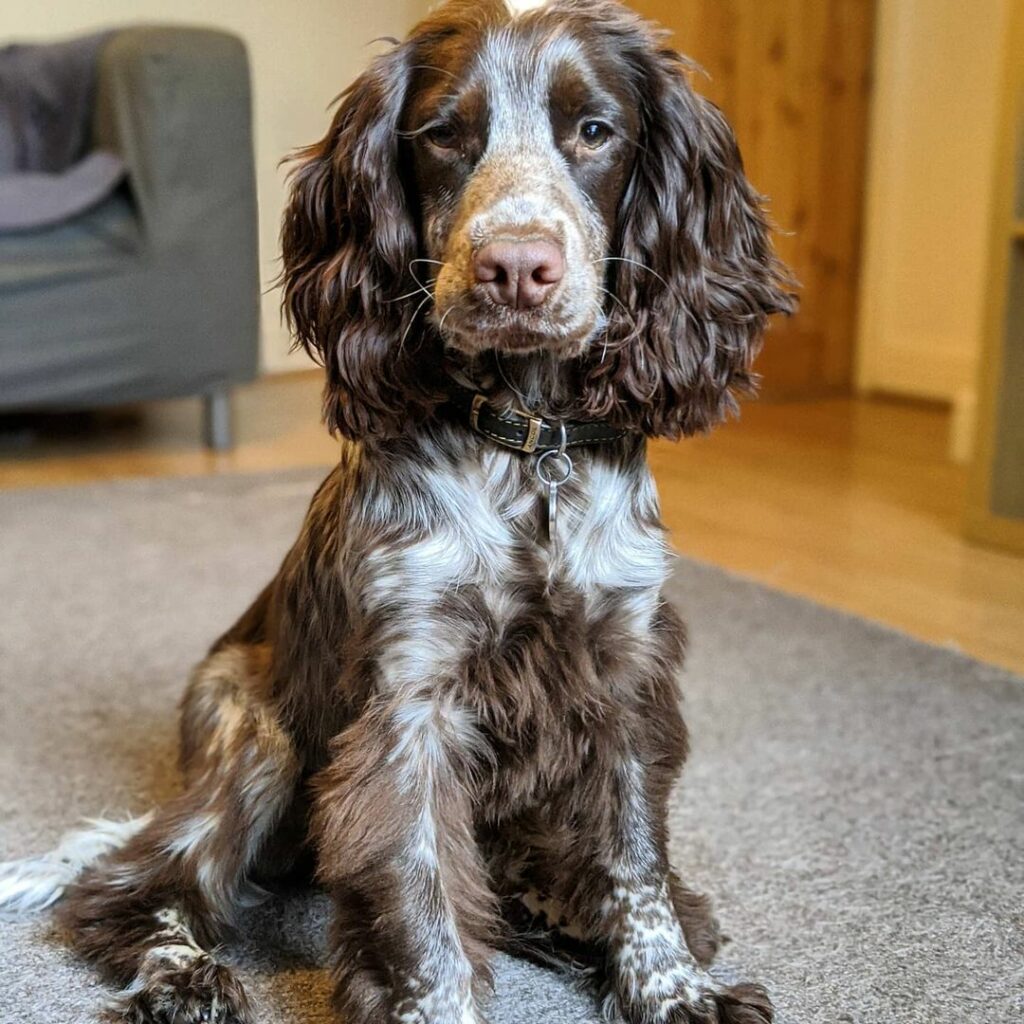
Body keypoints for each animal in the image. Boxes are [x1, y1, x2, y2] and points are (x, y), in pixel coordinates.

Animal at [0, 2, 794, 1024]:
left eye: (594, 131)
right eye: (444, 135)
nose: (515, 267)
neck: (526, 446)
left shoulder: (625, 676)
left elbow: (636, 864)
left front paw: (672, 989)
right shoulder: (409, 706)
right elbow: (424, 907)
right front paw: (437, 1001)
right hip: (253, 742)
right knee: (139, 884)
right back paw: (182, 976)